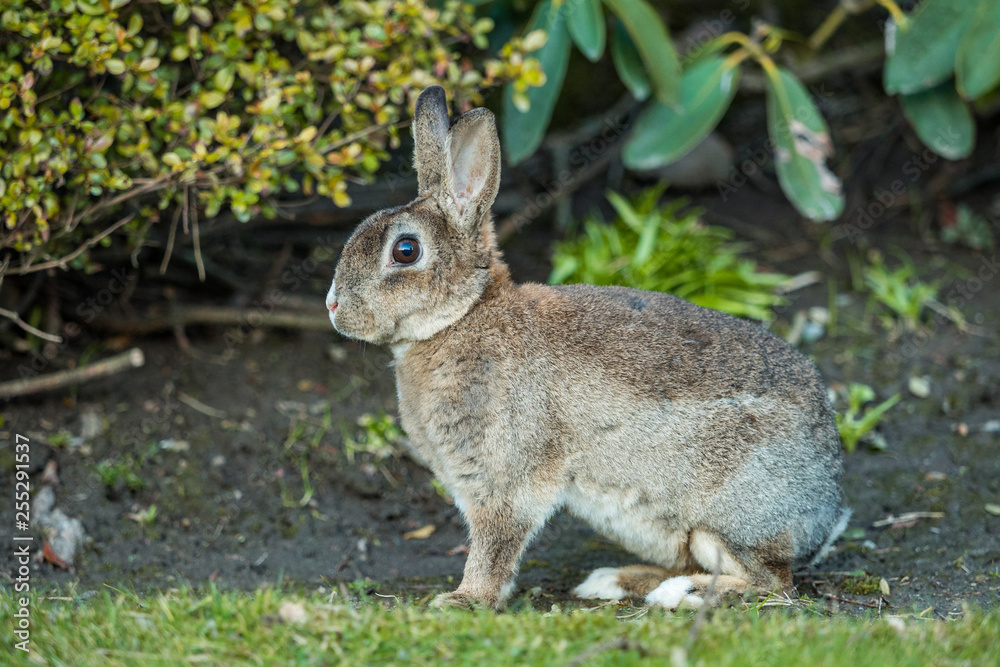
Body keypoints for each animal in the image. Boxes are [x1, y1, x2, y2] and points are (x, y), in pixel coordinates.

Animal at [326, 85, 850, 611]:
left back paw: (680, 593)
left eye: (405, 251)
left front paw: (463, 600)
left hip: (727, 522)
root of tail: (827, 503)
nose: (333, 306)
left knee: (772, 583)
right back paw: (613, 581)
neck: (465, 316)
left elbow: (495, 546)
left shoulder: (505, 482)